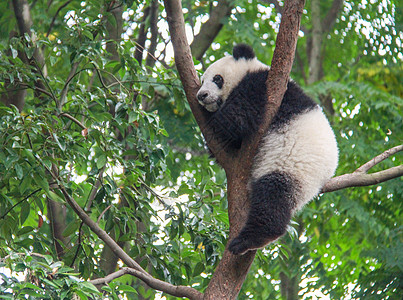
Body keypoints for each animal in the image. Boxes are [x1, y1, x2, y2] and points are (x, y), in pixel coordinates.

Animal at [197, 44, 340, 255]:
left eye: (217, 78)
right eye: (201, 81)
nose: (201, 96)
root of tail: (326, 175)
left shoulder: (262, 87)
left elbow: (235, 119)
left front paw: (212, 121)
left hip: (292, 165)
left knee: (272, 196)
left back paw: (250, 239)